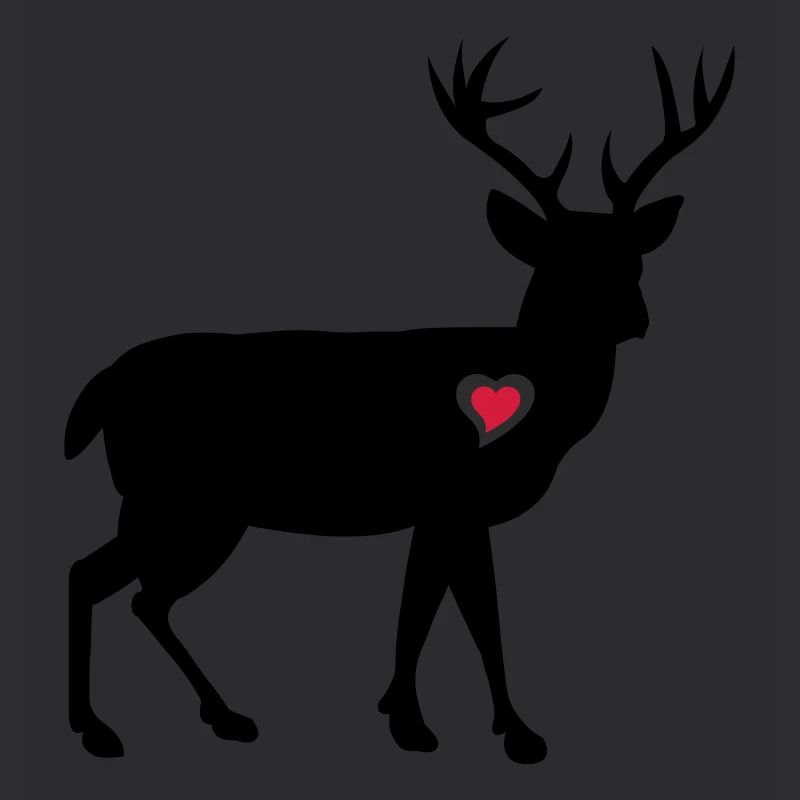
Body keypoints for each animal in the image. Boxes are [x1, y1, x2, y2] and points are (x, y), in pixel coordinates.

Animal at [65, 39, 734, 764]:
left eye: (633, 259)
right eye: (561, 263)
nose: (635, 317)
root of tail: (99, 386)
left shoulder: (443, 512)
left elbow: (431, 609)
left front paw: (426, 716)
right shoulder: (452, 496)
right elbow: (465, 614)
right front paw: (465, 729)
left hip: (190, 508)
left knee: (143, 597)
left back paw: (223, 716)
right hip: (180, 499)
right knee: (97, 579)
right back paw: (99, 729)